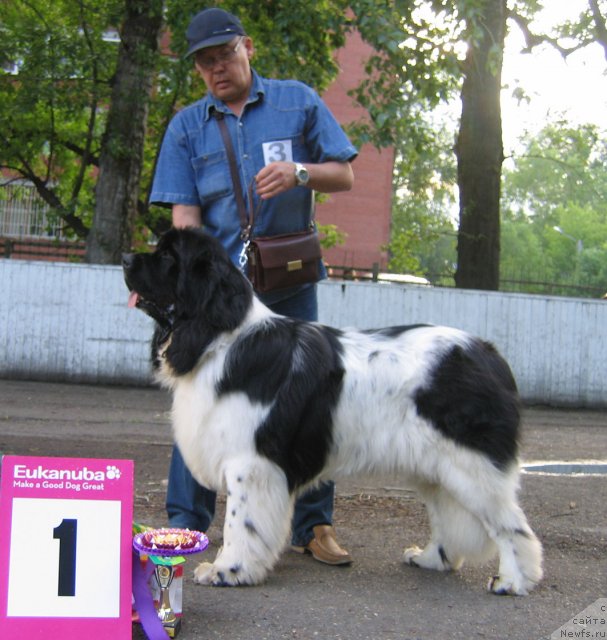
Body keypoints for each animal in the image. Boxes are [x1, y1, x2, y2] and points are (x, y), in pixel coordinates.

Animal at [124, 226, 548, 596]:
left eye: (168, 256)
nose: (126, 257)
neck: (220, 336)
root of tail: (489, 355)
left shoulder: (251, 464)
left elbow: (240, 524)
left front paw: (228, 570)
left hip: (471, 465)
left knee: (512, 526)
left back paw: (513, 581)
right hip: (437, 468)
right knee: (446, 516)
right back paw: (431, 559)